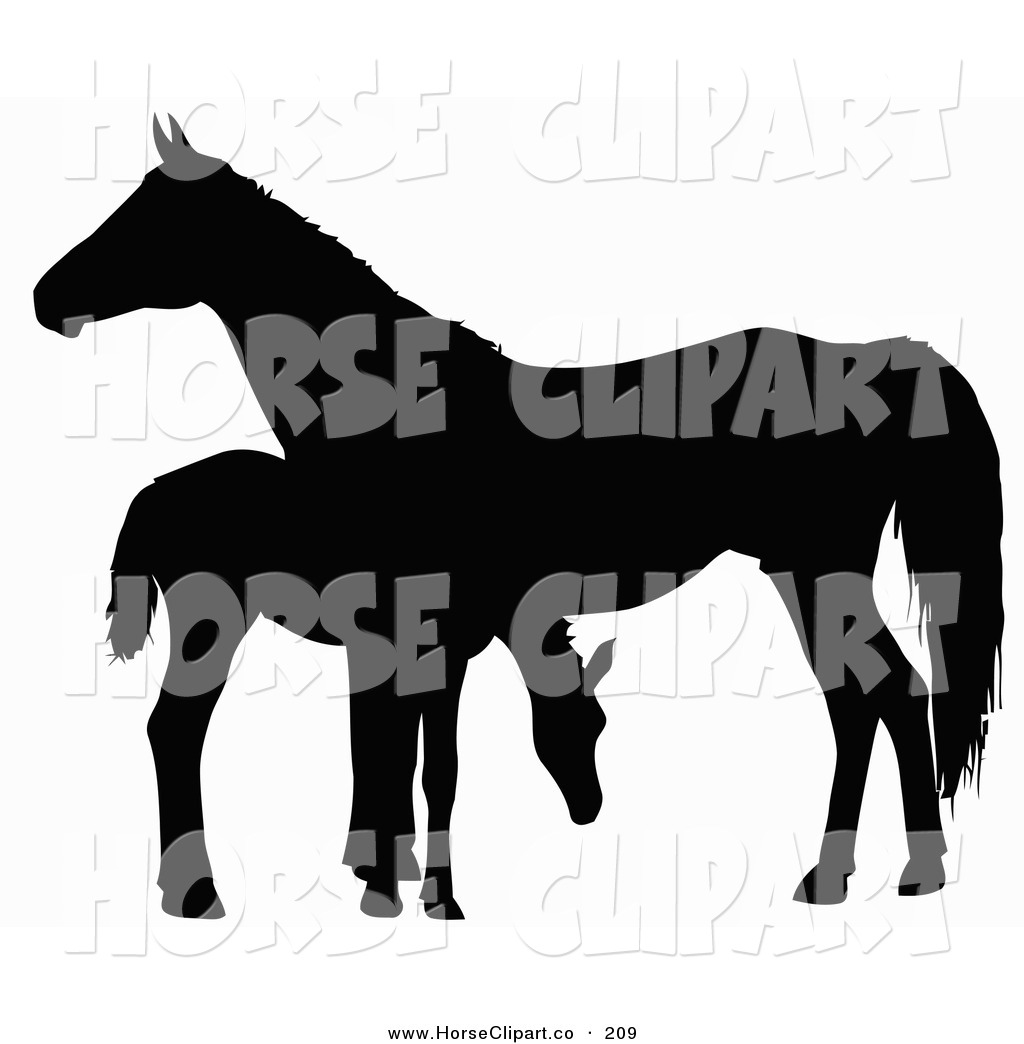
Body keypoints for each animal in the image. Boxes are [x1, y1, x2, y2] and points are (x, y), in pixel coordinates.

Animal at [34, 115, 1003, 919]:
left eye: (145, 220)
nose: (47, 299)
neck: (401, 403)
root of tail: (880, 362)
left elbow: (407, 757)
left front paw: (407, 891)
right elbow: (389, 752)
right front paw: (389, 883)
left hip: (814, 568)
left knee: (878, 696)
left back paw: (882, 873)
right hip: (808, 572)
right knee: (874, 697)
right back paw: (857, 876)